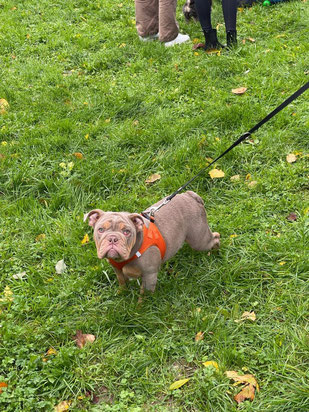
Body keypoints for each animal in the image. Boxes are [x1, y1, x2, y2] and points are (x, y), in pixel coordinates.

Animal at [84, 192, 219, 298]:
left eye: (127, 232)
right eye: (100, 230)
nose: (112, 238)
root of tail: (190, 195)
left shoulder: (149, 276)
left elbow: (145, 295)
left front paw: (141, 309)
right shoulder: (118, 270)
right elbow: (122, 282)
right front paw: (121, 293)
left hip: (199, 239)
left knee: (215, 237)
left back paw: (215, 253)